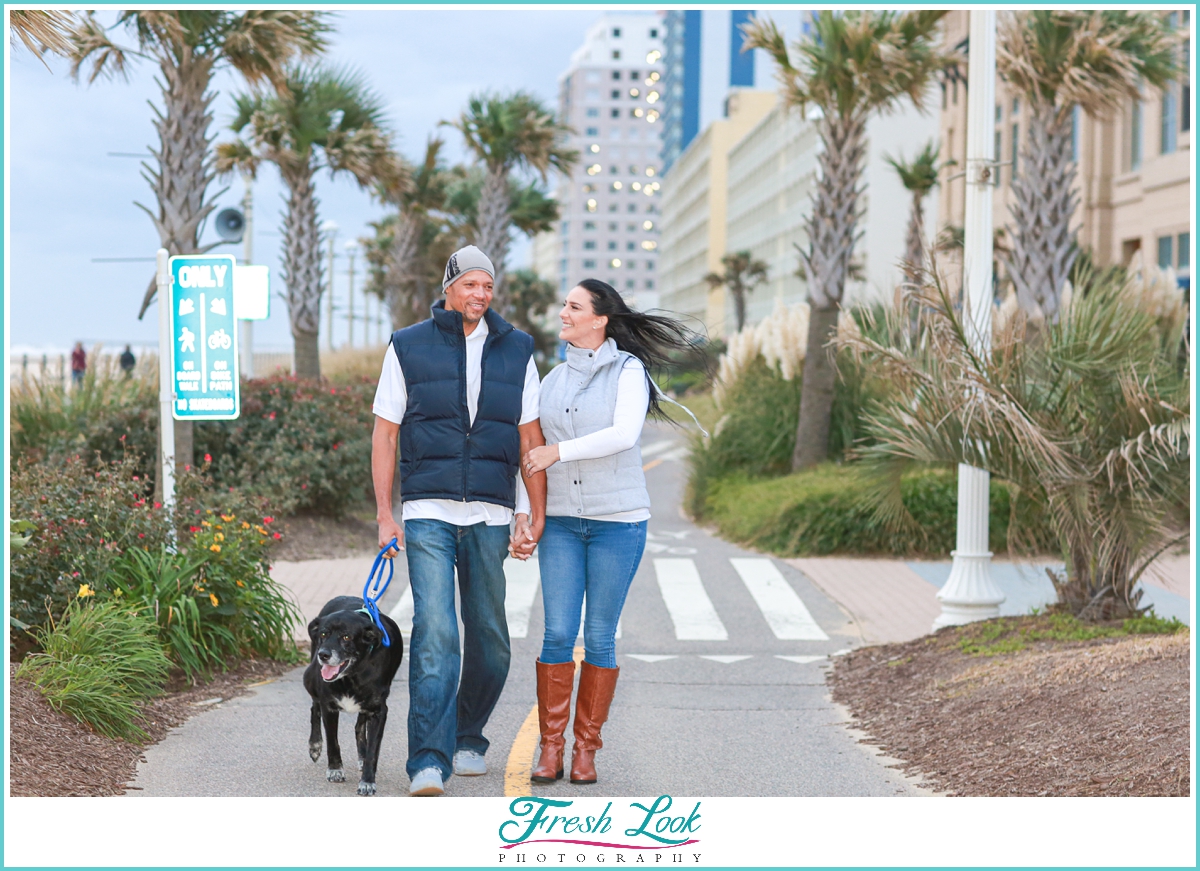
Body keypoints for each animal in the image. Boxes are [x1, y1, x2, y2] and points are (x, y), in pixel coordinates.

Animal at [304, 597, 403, 796]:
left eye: (346, 637)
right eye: (324, 634)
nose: (323, 655)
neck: (353, 674)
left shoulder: (379, 711)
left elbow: (373, 750)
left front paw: (367, 781)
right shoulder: (329, 707)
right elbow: (332, 742)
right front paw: (335, 770)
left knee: (359, 726)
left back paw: (362, 756)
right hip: (310, 677)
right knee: (314, 707)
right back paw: (315, 745)